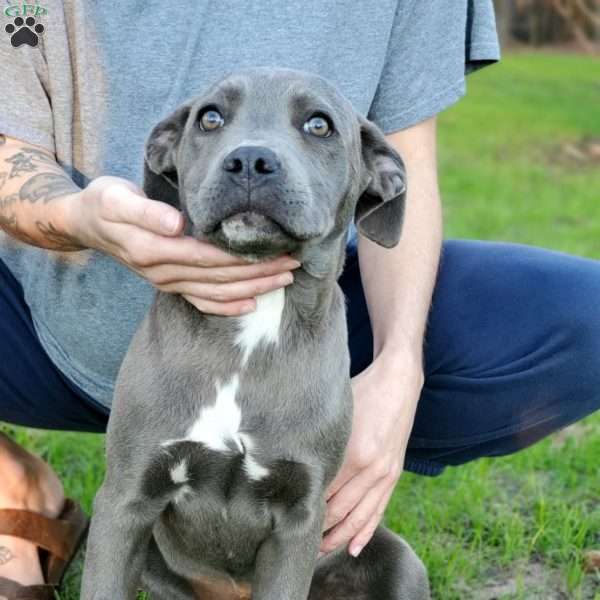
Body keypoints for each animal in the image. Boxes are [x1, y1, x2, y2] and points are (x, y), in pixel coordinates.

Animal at [81, 67, 432, 600]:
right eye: (209, 118)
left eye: (319, 125)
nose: (249, 161)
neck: (250, 332)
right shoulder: (126, 497)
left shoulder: (300, 517)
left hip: (400, 559)